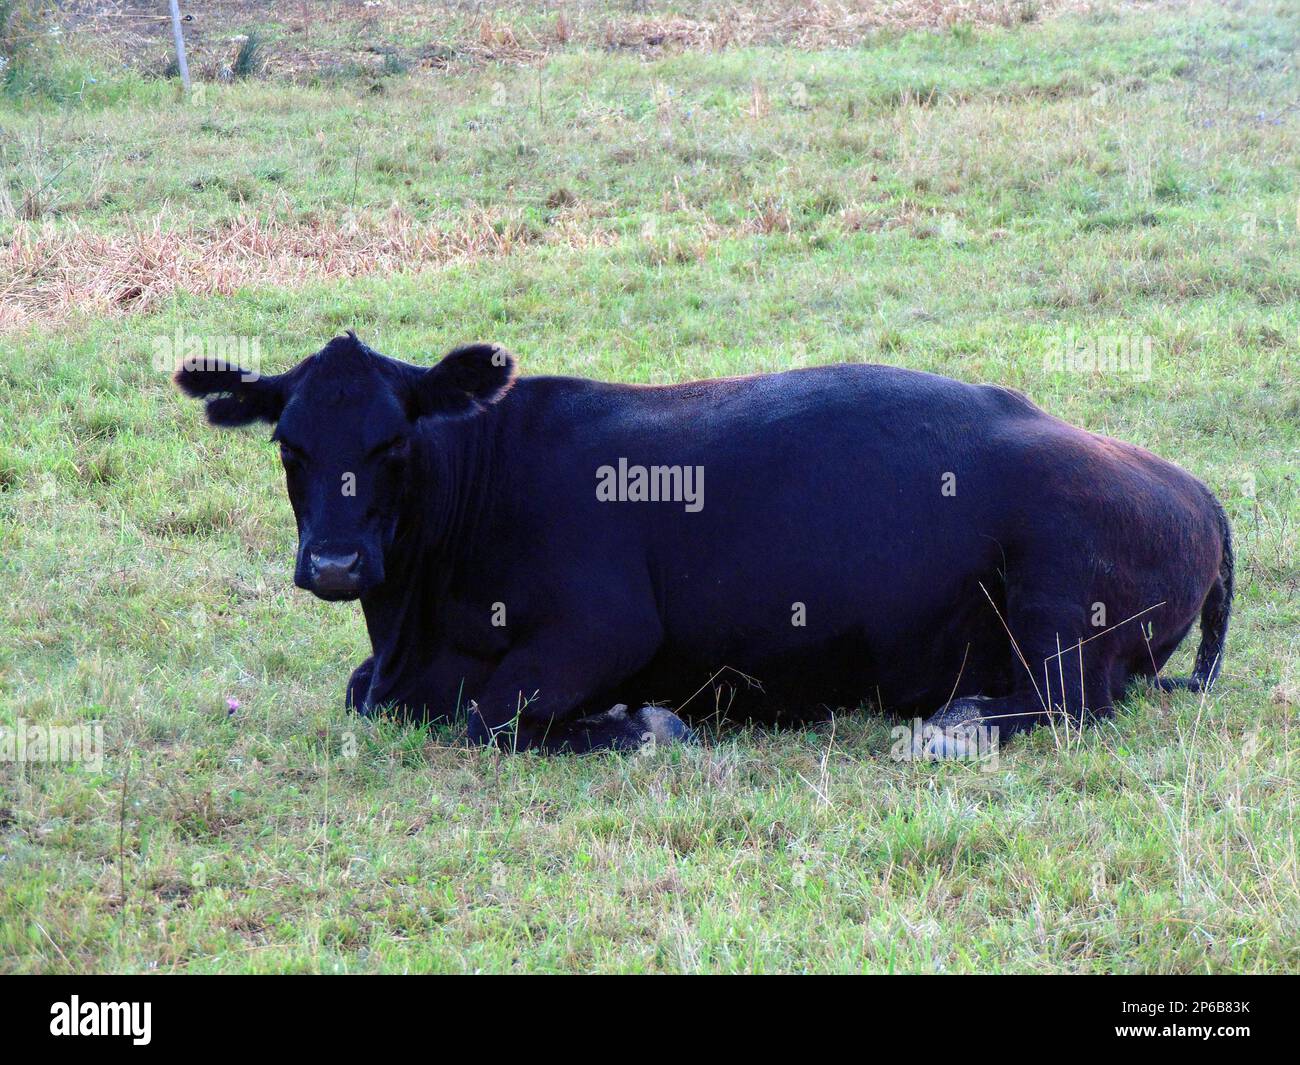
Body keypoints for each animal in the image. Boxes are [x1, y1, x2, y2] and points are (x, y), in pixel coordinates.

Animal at [175, 331, 1233, 755]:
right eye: (289, 444)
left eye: (393, 441)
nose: (335, 563)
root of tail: (1194, 491)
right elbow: (368, 695)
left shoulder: (605, 624)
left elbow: (493, 714)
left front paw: (639, 725)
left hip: (1057, 596)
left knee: (1065, 705)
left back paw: (950, 726)